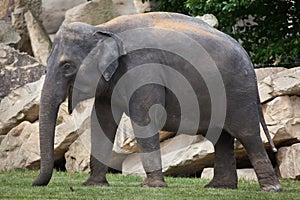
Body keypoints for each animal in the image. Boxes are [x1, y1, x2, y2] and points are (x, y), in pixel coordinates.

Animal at [31, 11, 282, 192]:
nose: (34, 183)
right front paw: (93, 185)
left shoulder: (143, 68)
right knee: (221, 137)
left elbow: (144, 118)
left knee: (247, 134)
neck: (104, 28)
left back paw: (271, 189)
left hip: (238, 91)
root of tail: (247, 55)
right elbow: (101, 122)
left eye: (67, 66)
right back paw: (217, 188)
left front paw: (150, 187)